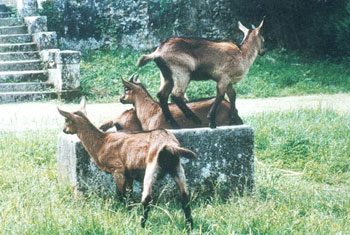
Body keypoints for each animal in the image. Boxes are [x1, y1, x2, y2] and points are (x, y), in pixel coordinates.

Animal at [56, 96, 197, 229]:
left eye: (66, 120)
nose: (64, 130)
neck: (102, 142)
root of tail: (169, 144)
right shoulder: (129, 174)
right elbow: (129, 196)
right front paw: (129, 212)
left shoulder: (118, 169)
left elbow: (121, 195)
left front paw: (123, 214)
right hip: (177, 167)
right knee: (185, 197)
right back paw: (189, 226)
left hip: (152, 165)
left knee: (147, 198)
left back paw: (142, 225)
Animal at [137, 18, 266, 129]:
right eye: (263, 39)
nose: (263, 51)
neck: (242, 54)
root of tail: (157, 52)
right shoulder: (223, 78)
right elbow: (220, 95)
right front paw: (212, 121)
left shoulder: (228, 81)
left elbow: (232, 95)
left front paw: (234, 119)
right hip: (182, 73)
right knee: (176, 95)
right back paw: (194, 118)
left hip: (166, 76)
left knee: (162, 95)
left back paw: (174, 124)